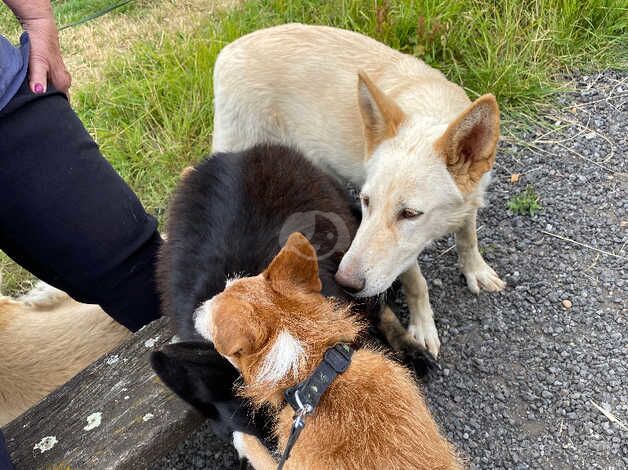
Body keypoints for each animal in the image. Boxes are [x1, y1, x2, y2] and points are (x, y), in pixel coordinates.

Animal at [193, 233, 462, 468]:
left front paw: (242, 439)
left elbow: (260, 454)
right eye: (227, 285)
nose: (196, 310)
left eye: (212, 322)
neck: (315, 372)